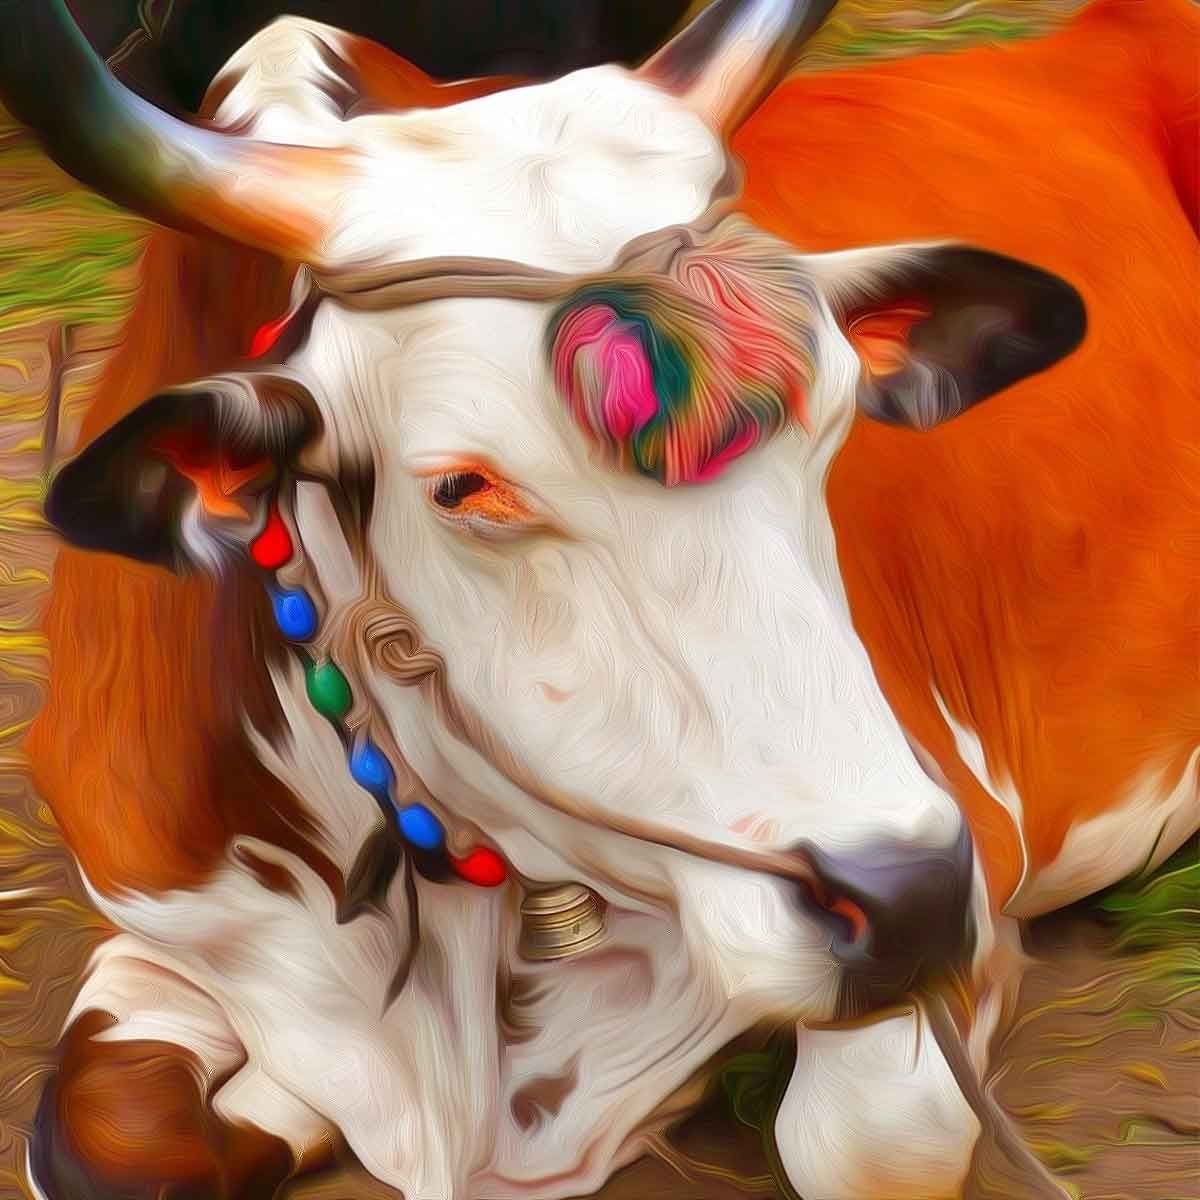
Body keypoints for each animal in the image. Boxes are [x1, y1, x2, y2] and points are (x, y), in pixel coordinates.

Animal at [3, 0, 1196, 1197]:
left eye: (840, 417)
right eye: (463, 486)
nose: (908, 902)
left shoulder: (962, 877)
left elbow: (858, 1141)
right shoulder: (171, 923)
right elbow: (109, 1140)